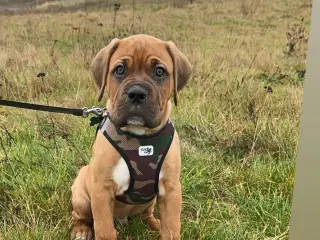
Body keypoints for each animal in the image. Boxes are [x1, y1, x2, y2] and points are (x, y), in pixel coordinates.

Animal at [71, 34, 191, 240]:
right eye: (120, 70)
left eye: (159, 72)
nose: (136, 93)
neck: (140, 139)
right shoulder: (101, 191)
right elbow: (104, 230)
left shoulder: (171, 191)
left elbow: (171, 229)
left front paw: (164, 228)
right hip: (81, 194)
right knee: (79, 215)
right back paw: (81, 229)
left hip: (151, 201)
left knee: (146, 214)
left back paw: (154, 224)